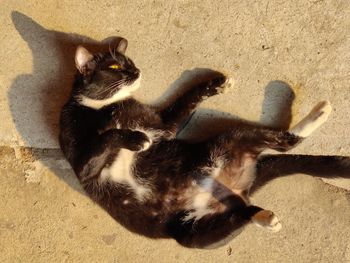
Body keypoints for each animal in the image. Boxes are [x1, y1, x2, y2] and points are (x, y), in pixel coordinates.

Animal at [58, 38, 332, 249]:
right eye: (115, 65)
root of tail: (240, 188)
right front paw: (137, 140)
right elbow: (106, 137)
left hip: (232, 139)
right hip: (193, 234)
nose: (136, 72)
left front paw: (217, 84)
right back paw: (265, 217)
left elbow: (187, 99)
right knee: (243, 211)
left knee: (286, 143)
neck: (108, 107)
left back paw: (321, 111)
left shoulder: (163, 125)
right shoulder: (82, 165)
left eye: (131, 63)